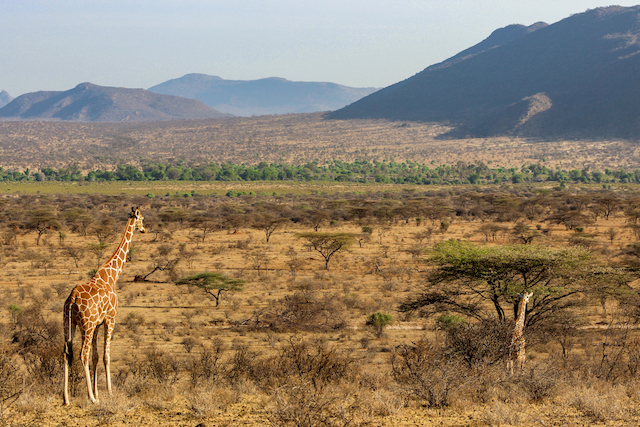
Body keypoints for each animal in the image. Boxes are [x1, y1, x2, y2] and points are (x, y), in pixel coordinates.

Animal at [60, 206, 144, 404]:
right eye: (142, 219)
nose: (144, 229)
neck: (111, 276)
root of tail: (72, 297)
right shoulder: (110, 319)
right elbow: (106, 356)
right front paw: (109, 393)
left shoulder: (97, 324)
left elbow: (96, 357)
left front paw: (98, 392)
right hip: (87, 325)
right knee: (82, 355)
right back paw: (91, 398)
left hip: (70, 323)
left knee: (66, 353)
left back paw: (66, 399)